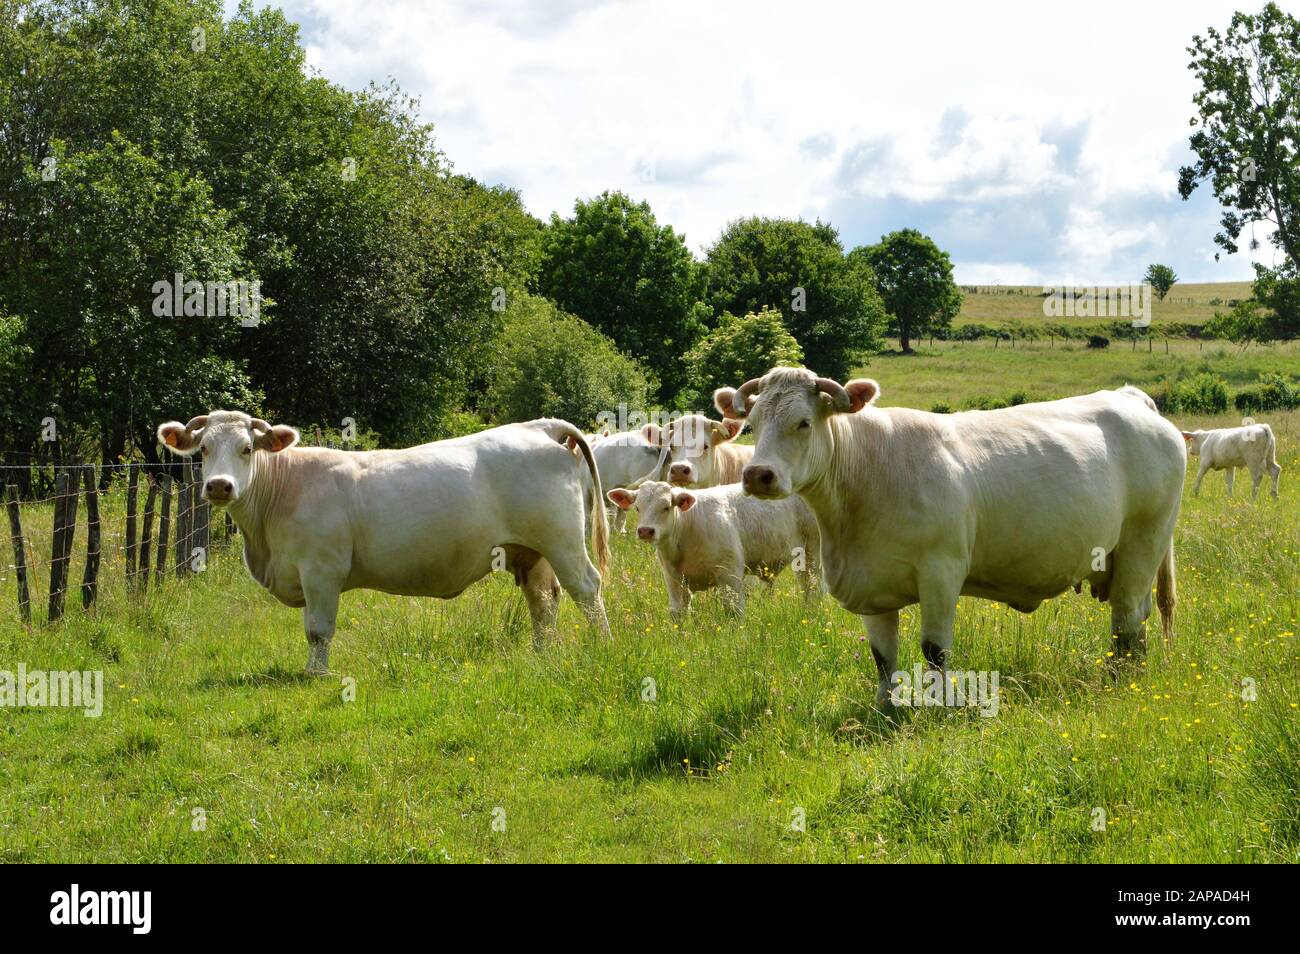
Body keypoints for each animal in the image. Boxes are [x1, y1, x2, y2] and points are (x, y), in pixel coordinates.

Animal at [157, 411, 610, 673]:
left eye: (248, 448)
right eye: (203, 449)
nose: (219, 485)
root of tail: (540, 426)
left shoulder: (321, 570)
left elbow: (318, 630)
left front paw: (317, 675)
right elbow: (310, 629)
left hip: (562, 542)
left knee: (586, 589)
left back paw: (602, 645)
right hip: (530, 551)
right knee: (544, 600)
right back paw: (541, 654)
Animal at [606, 480, 819, 618]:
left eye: (666, 506)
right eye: (637, 507)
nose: (645, 531)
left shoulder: (730, 574)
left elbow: (734, 611)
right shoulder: (673, 580)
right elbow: (677, 613)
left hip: (812, 552)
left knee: (814, 588)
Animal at [715, 368, 1185, 709]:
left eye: (804, 423)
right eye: (752, 424)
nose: (757, 475)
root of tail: (1128, 397)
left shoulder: (941, 571)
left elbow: (934, 650)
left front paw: (937, 706)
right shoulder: (872, 586)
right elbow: (883, 658)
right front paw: (887, 708)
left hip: (1145, 539)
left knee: (1126, 621)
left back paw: (1120, 683)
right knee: (1136, 621)